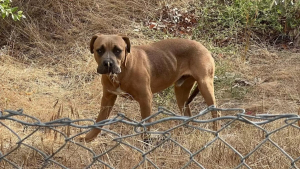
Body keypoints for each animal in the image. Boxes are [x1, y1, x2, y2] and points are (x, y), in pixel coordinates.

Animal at [84, 34, 220, 141]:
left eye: (118, 50)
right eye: (99, 50)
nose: (108, 63)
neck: (122, 71)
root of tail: (204, 47)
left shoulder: (145, 99)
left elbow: (146, 125)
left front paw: (146, 143)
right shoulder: (107, 99)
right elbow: (99, 121)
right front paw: (88, 138)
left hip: (205, 85)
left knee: (216, 112)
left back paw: (215, 135)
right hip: (181, 92)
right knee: (187, 114)